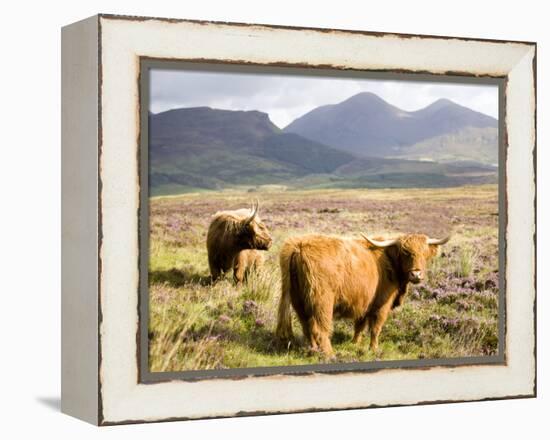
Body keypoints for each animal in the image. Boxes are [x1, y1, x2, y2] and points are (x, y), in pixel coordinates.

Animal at [278, 232, 450, 356]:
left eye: (424, 254)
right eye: (405, 253)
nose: (416, 274)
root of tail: (299, 246)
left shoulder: (364, 303)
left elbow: (359, 325)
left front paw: (355, 343)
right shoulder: (382, 304)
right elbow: (376, 328)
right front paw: (374, 348)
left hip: (298, 301)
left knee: (306, 326)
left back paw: (313, 350)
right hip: (322, 301)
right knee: (319, 328)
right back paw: (329, 354)